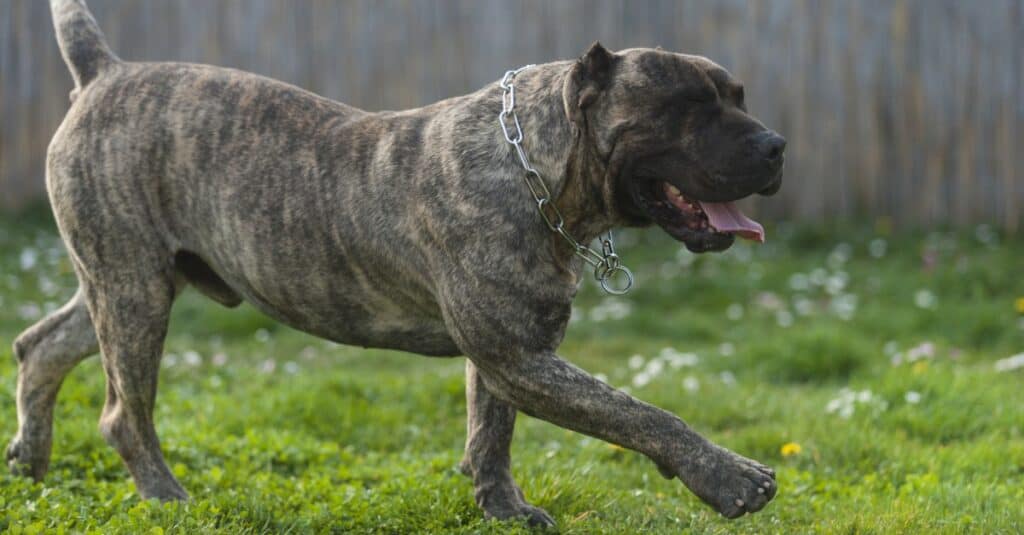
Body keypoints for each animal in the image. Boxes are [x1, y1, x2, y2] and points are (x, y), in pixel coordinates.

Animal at [6, 0, 782, 524]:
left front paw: (502, 508)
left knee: (42, 346)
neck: (531, 162)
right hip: (134, 291)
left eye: (739, 97)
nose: (776, 145)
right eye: (688, 106)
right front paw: (730, 476)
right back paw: (167, 495)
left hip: (126, 282)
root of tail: (105, 74)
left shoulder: (514, 351)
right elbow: (638, 413)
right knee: (122, 412)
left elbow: (491, 432)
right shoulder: (519, 356)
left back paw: (30, 460)